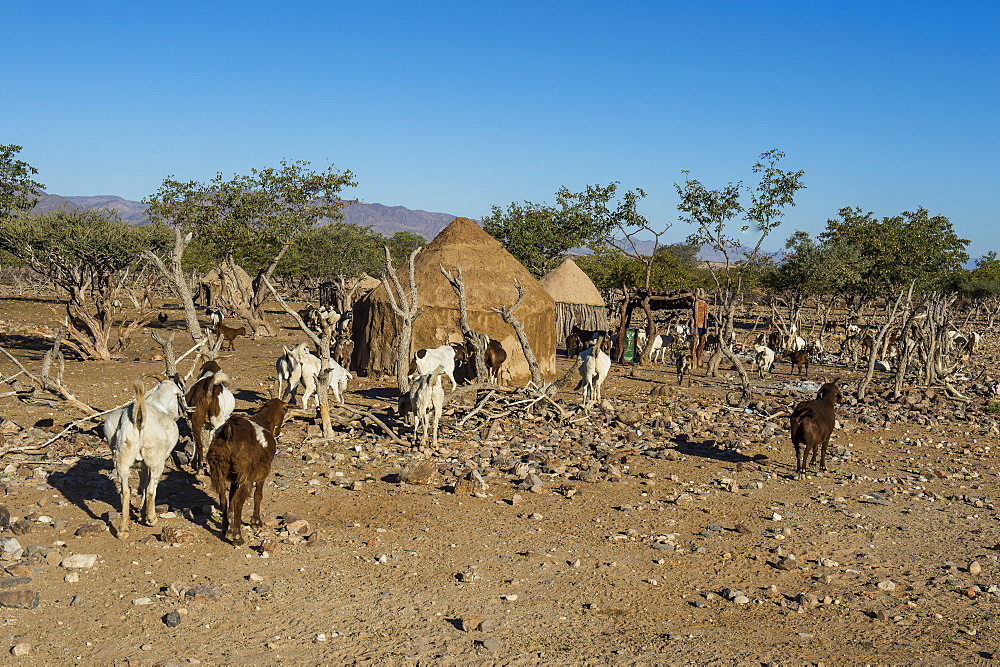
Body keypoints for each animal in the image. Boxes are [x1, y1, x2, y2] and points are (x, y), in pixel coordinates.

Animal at [105, 378, 189, 540]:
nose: (177, 415)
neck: (156, 402)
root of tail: (138, 419)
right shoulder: (150, 463)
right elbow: (147, 487)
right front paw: (145, 515)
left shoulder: (141, 465)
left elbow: (142, 485)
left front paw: (141, 513)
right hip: (156, 460)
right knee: (151, 488)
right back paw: (152, 519)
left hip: (122, 460)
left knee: (125, 491)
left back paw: (123, 530)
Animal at [207, 400, 290, 544]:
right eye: (285, 409)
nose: (278, 432)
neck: (264, 420)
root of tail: (230, 431)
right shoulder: (263, 470)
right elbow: (258, 495)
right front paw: (255, 522)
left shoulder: (235, 477)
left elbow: (231, 496)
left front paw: (230, 525)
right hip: (246, 471)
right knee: (239, 501)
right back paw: (238, 537)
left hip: (218, 467)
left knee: (223, 498)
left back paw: (225, 529)